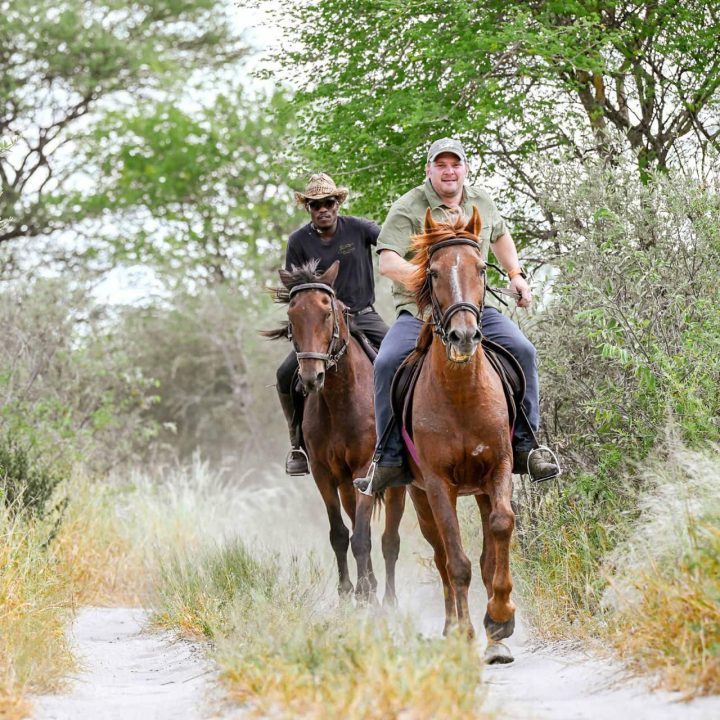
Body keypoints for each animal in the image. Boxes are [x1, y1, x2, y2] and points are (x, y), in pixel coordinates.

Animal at [264, 258, 404, 600]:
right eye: (292, 315)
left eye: (328, 312)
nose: (310, 377)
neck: (342, 400)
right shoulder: (324, 474)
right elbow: (341, 534)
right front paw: (347, 592)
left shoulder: (366, 468)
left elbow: (364, 538)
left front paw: (365, 592)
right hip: (345, 483)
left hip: (394, 484)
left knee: (389, 540)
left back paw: (389, 600)